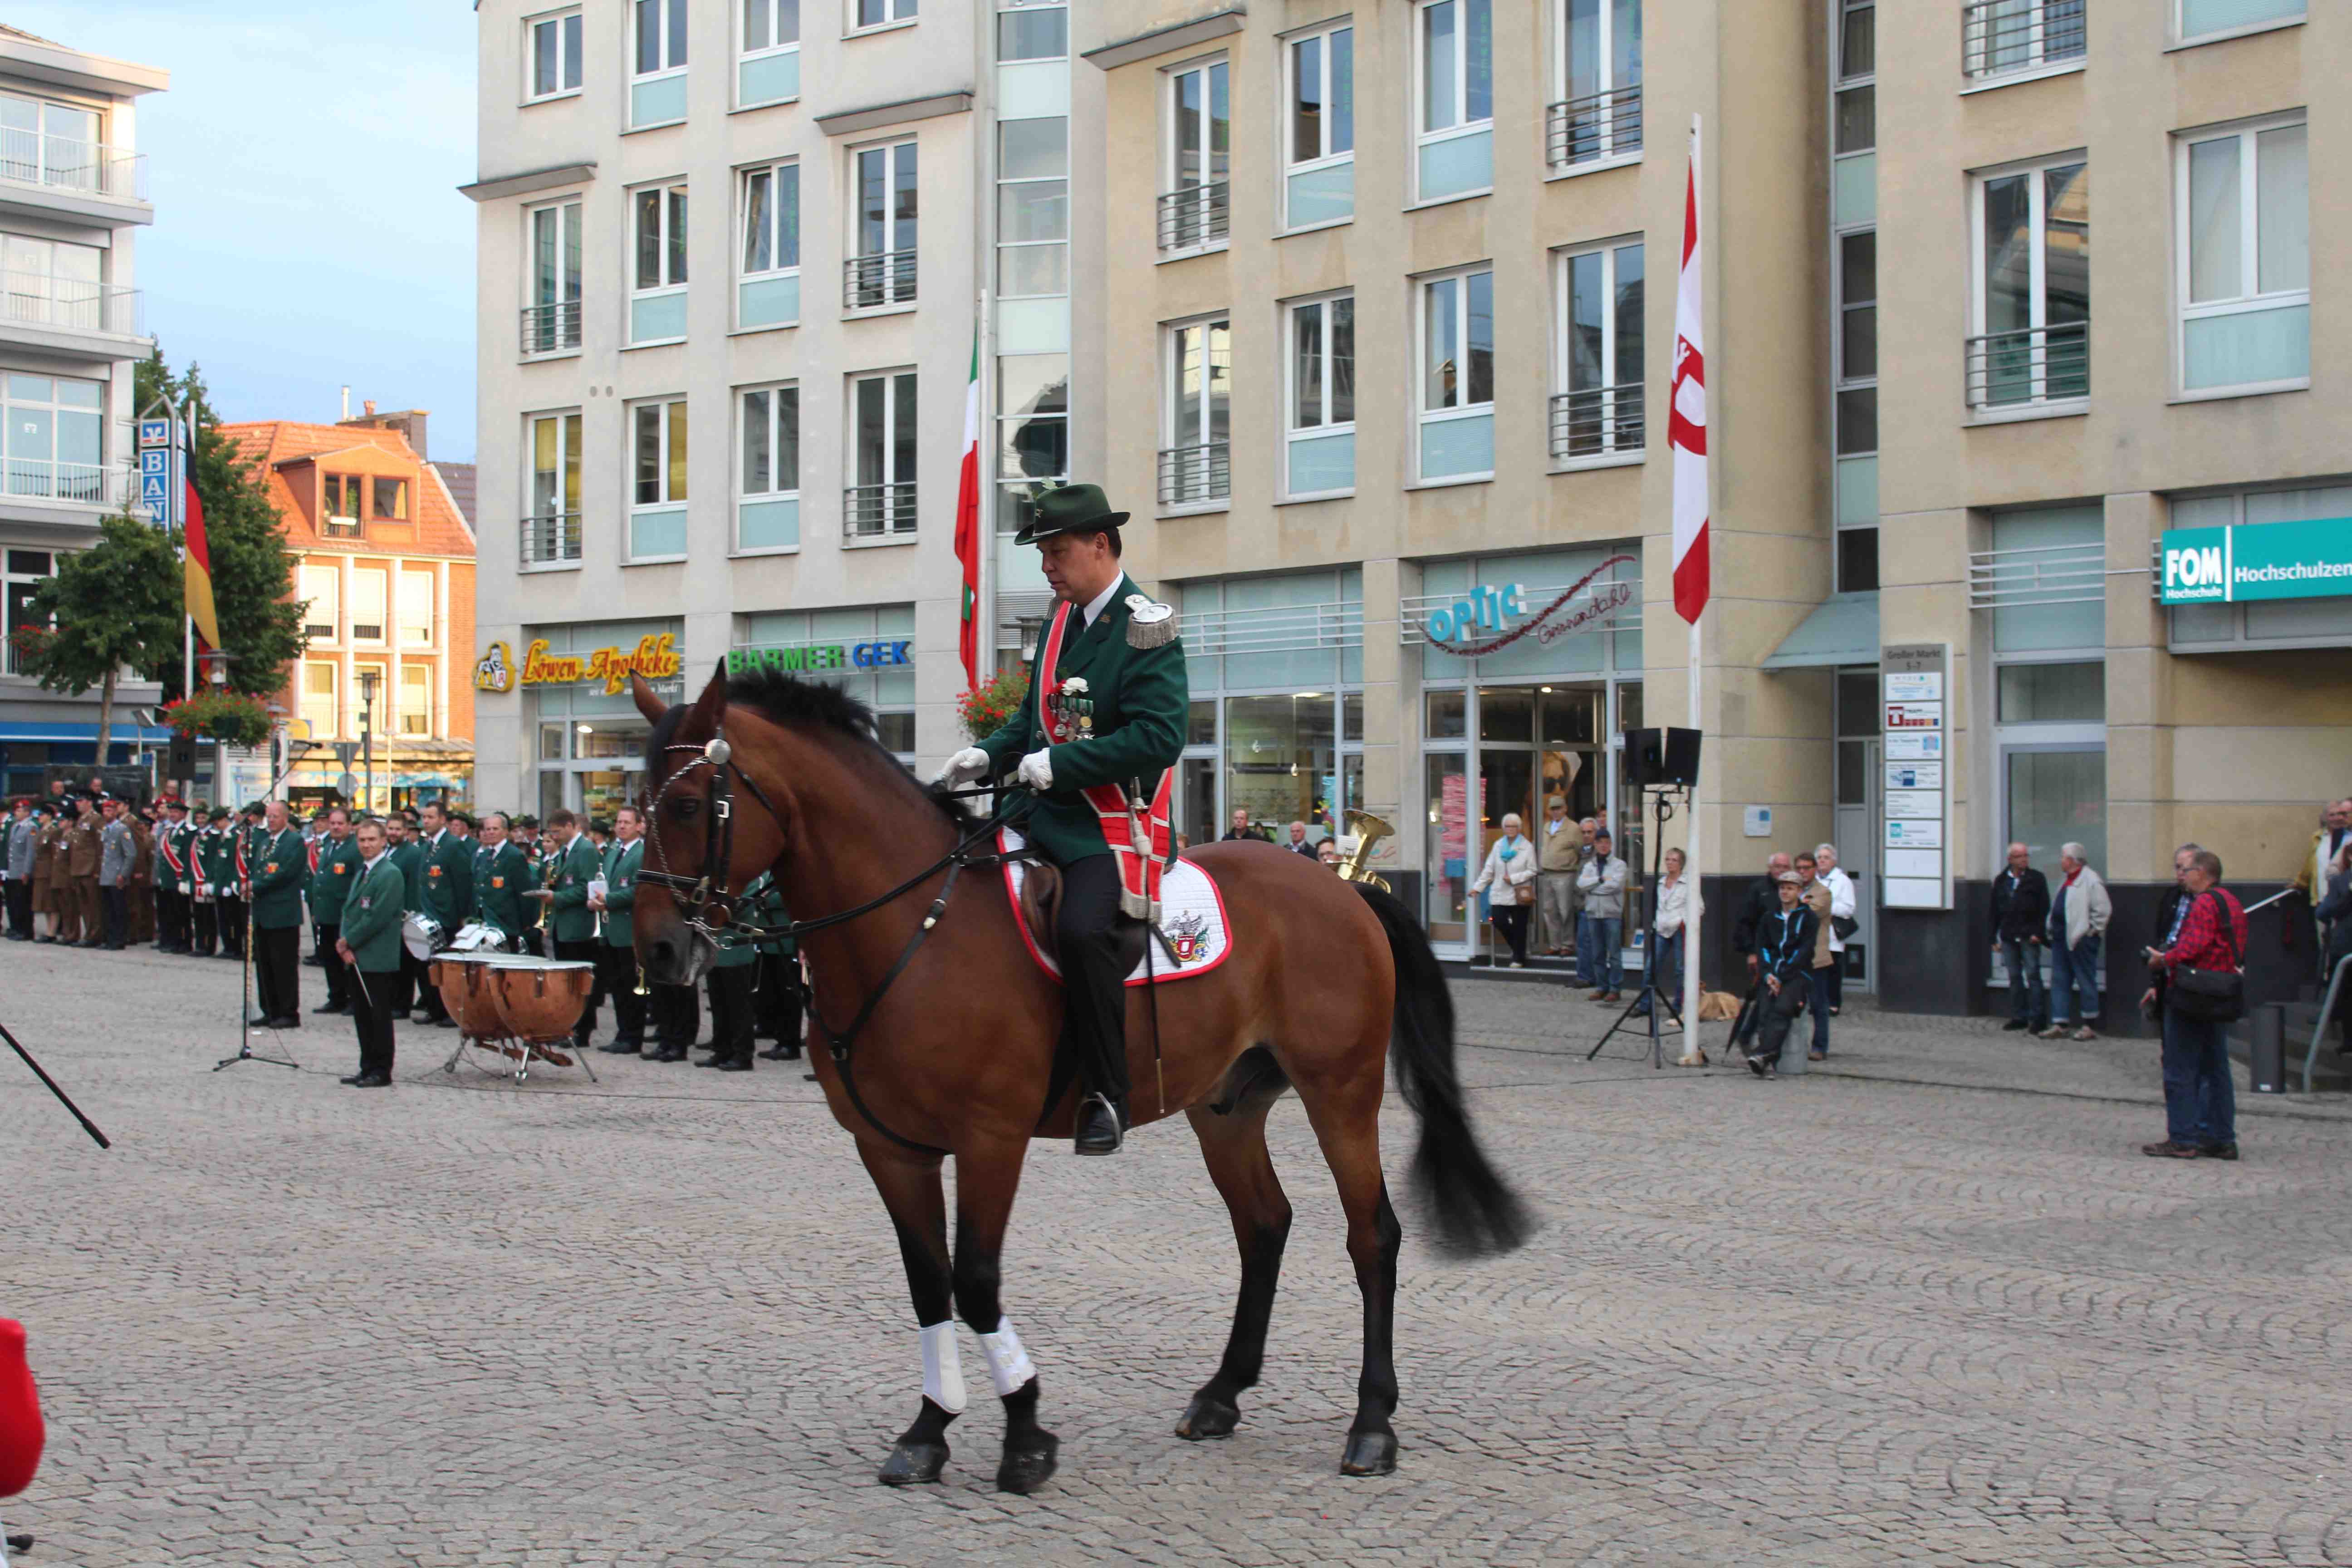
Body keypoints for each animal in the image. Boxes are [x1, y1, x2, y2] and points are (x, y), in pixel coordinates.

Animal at [628, 664, 1529, 1493]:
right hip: (1225, 1107)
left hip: (1340, 1090)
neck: (914, 928)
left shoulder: (989, 1140)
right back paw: (1221, 1393)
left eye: (687, 805)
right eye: (640, 798)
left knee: (1371, 1236)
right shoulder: (890, 1149)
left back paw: (1371, 1424)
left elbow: (976, 1282)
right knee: (1263, 1225)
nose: (660, 951)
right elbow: (928, 1285)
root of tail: (1341, 888)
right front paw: (929, 1430)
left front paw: (1025, 1435)